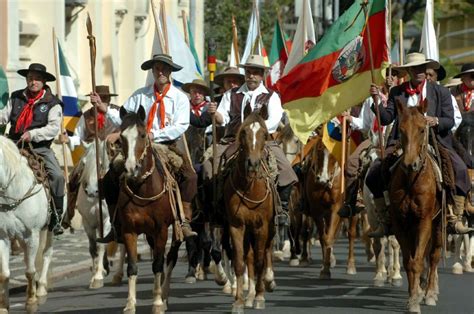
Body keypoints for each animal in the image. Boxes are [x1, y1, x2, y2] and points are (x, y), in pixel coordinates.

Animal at [0, 136, 55, 312]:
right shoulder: (3, 236)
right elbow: (4, 274)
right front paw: (3, 307)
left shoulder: (32, 235)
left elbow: (30, 271)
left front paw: (31, 302)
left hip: (49, 230)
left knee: (46, 254)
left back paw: (41, 289)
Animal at [75, 140, 125, 290]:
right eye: (83, 163)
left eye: (101, 164)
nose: (91, 191)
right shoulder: (88, 223)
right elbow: (93, 248)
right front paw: (96, 274)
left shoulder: (107, 221)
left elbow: (101, 246)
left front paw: (98, 277)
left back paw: (118, 274)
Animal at [115, 106, 181, 314]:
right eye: (121, 137)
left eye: (143, 135)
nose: (131, 168)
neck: (142, 188)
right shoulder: (129, 231)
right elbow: (132, 267)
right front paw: (130, 304)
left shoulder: (161, 230)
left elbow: (158, 263)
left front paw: (158, 303)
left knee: (171, 257)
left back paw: (164, 296)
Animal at [224, 108, 276, 312]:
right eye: (243, 133)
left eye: (264, 134)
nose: (252, 164)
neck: (250, 188)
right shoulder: (237, 225)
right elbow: (240, 262)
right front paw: (238, 301)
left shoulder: (262, 225)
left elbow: (261, 260)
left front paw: (260, 297)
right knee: (250, 257)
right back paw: (250, 294)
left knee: (265, 252)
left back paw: (265, 285)